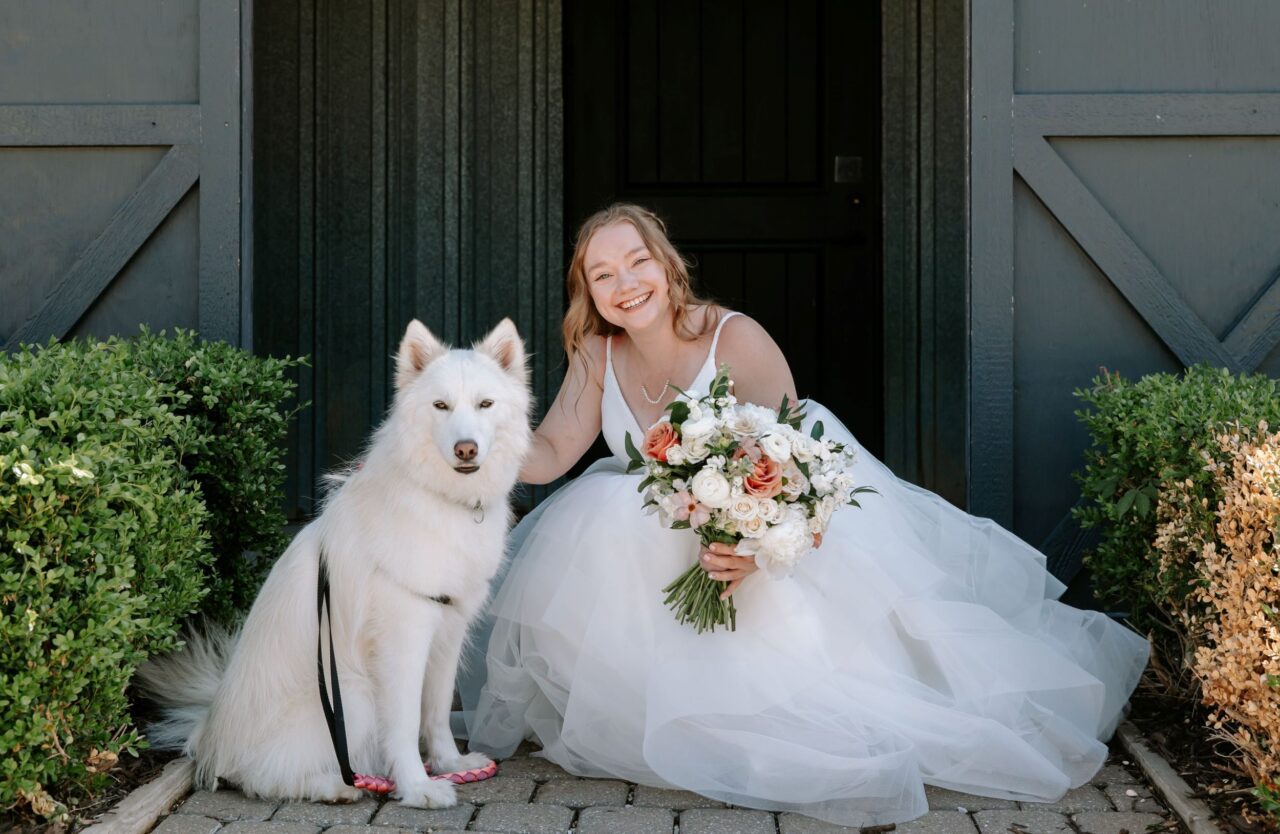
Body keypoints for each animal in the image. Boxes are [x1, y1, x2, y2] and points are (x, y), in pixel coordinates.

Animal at [140, 317, 535, 808]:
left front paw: (449, 764)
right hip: (352, 691)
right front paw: (418, 787)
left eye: (485, 403)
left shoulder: (448, 626)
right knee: (257, 775)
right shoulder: (404, 635)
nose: (466, 449)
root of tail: (210, 735)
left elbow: (438, 710)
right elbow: (405, 722)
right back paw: (337, 785)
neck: (442, 498)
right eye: (441, 405)